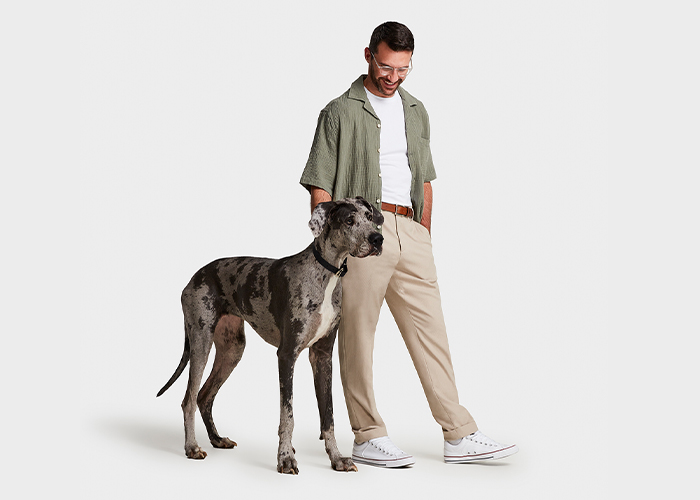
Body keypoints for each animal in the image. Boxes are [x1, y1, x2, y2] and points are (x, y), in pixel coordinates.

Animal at [157, 197, 384, 474]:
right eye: (349, 220)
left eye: (369, 216)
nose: (377, 239)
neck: (326, 274)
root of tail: (194, 276)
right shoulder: (286, 355)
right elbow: (287, 415)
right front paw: (285, 458)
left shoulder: (322, 357)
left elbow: (328, 414)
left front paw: (337, 458)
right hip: (201, 342)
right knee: (189, 399)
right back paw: (192, 447)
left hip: (233, 349)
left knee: (204, 395)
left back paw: (217, 439)